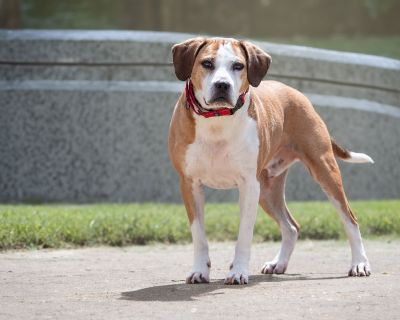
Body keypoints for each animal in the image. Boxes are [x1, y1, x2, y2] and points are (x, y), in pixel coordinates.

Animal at [167, 37, 374, 284]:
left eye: (238, 66)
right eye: (207, 63)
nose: (222, 85)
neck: (217, 121)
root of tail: (296, 93)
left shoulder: (249, 185)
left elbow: (244, 235)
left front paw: (238, 271)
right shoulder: (190, 184)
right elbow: (198, 235)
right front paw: (199, 270)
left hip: (324, 171)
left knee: (350, 219)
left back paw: (359, 263)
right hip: (267, 190)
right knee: (291, 227)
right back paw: (279, 263)